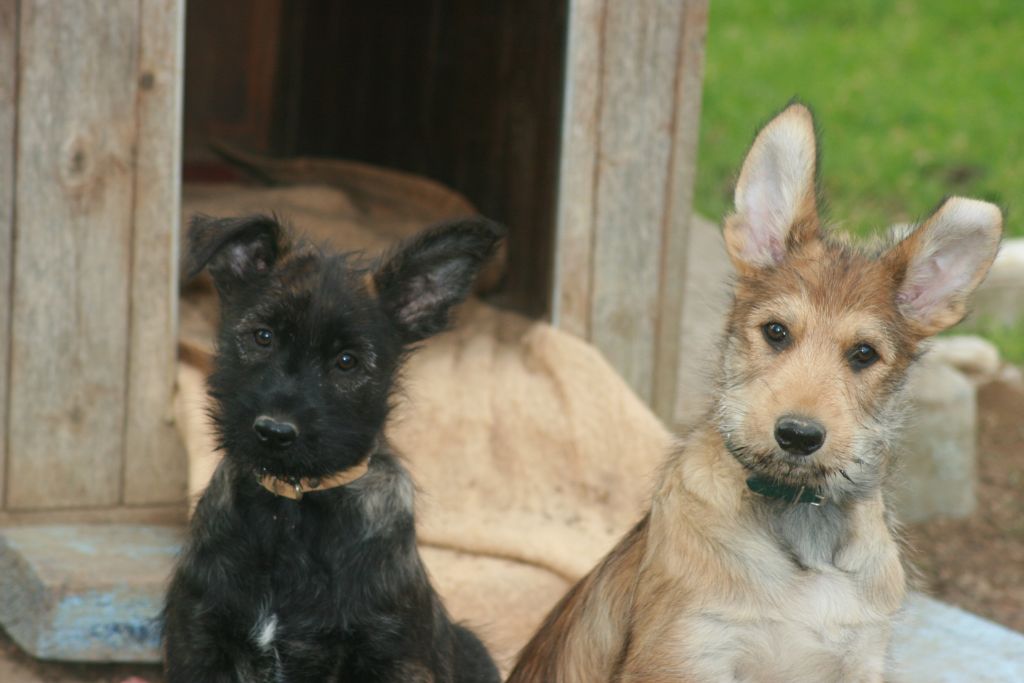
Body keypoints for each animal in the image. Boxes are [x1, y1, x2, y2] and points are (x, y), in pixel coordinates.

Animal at [163, 216, 503, 683]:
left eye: (347, 361)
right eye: (263, 336)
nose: (274, 431)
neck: (290, 510)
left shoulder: (391, 656)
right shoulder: (198, 641)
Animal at [507, 102, 1003, 683]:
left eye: (864, 354)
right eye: (776, 332)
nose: (798, 435)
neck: (798, 521)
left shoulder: (861, 657)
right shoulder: (690, 653)